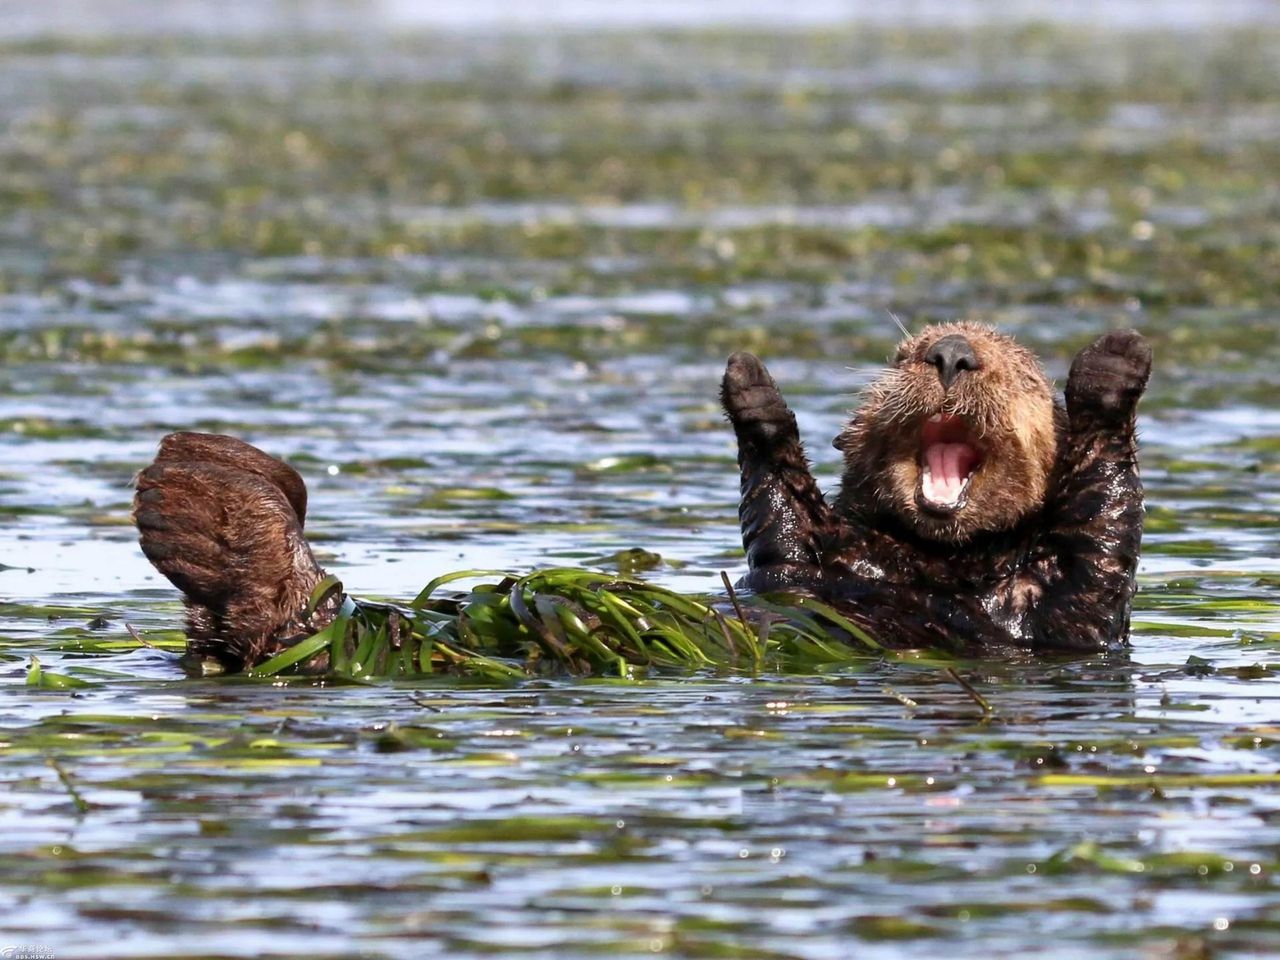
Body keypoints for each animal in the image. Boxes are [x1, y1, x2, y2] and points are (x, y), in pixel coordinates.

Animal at [721, 325, 1152, 655]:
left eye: (1024, 375)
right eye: (903, 356)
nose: (952, 352)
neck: (939, 559)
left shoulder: (1062, 606)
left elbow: (1102, 531)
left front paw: (1116, 358)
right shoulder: (808, 553)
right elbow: (783, 519)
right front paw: (751, 383)